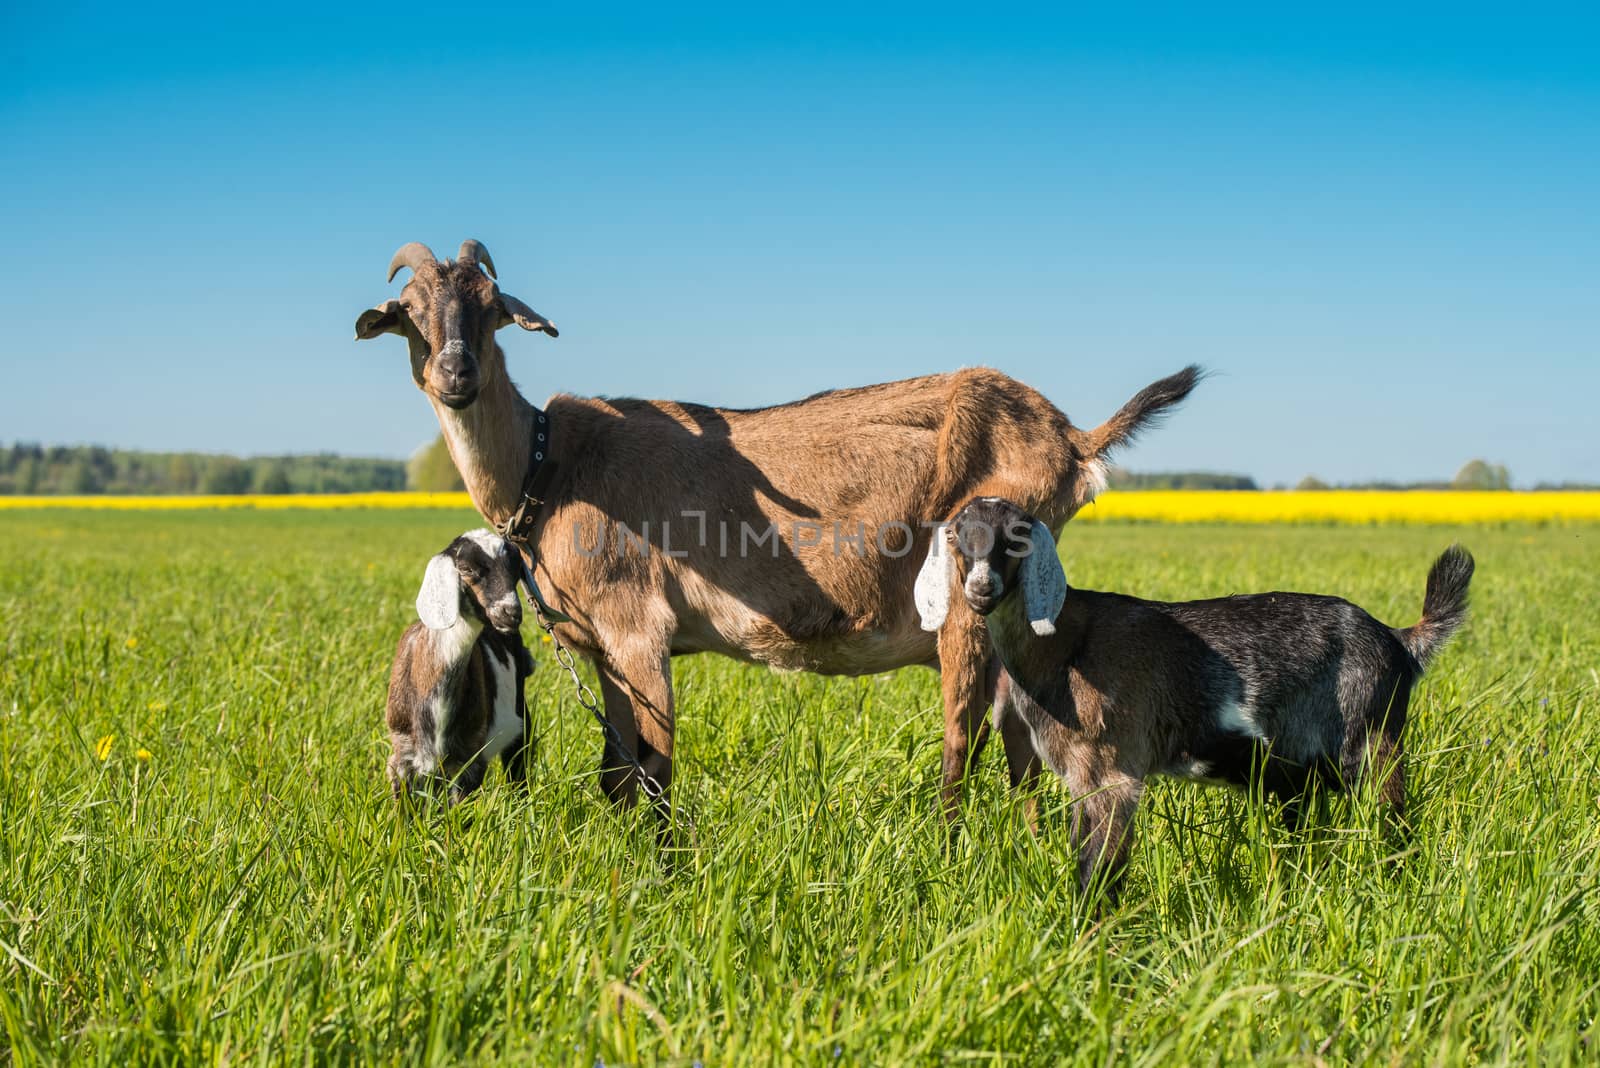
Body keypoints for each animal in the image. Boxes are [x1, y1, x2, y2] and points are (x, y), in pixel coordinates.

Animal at [353, 241, 1203, 824]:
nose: (457, 375)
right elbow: (615, 776)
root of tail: (1073, 439)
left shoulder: (638, 626)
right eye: (410, 316)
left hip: (973, 594)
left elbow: (655, 771)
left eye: (493, 306)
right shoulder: (600, 648)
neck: (550, 467)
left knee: (965, 745)